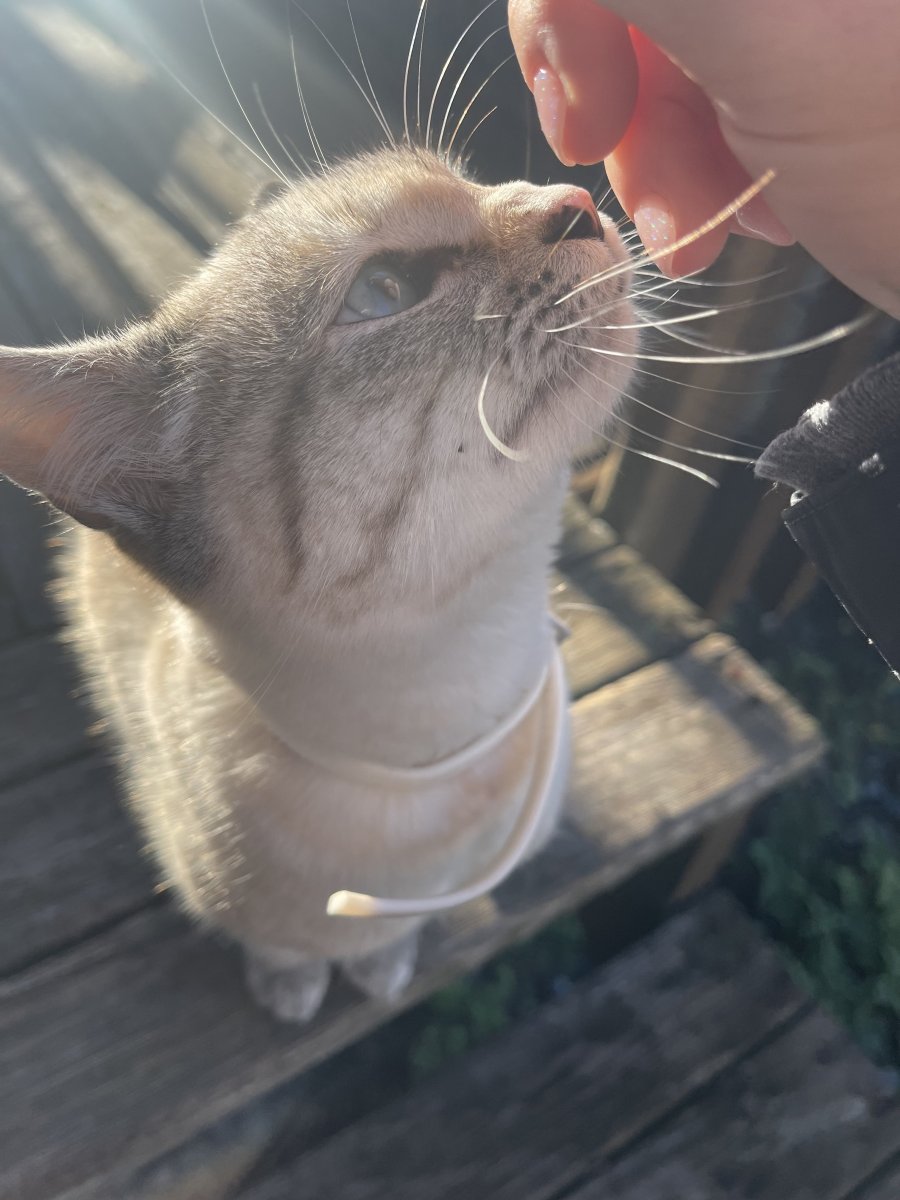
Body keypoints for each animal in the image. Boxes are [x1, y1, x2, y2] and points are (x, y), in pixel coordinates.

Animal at [0, 144, 634, 1021]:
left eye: (472, 179)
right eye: (383, 289)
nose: (574, 200)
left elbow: (386, 941)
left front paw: (381, 966)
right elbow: (287, 951)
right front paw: (295, 989)